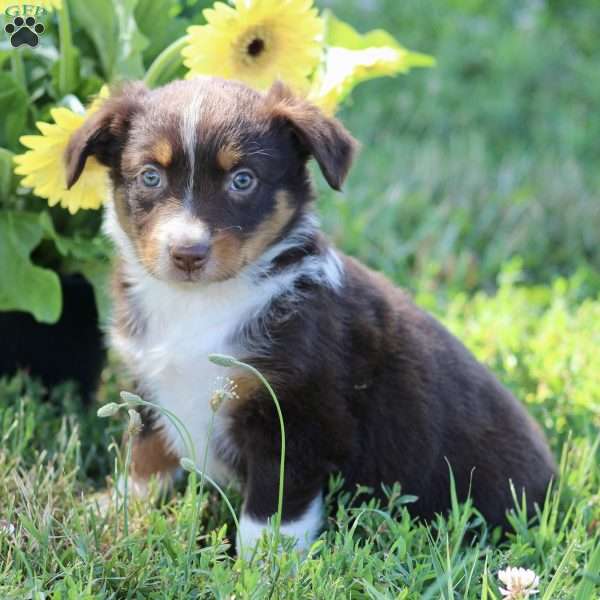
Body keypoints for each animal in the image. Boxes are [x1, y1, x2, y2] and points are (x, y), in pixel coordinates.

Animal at [63, 77, 556, 556]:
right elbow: (145, 455)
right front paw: (114, 510)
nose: (187, 253)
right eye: (150, 176)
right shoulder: (151, 383)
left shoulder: (298, 417)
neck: (200, 303)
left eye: (243, 180)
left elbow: (270, 515)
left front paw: (262, 568)